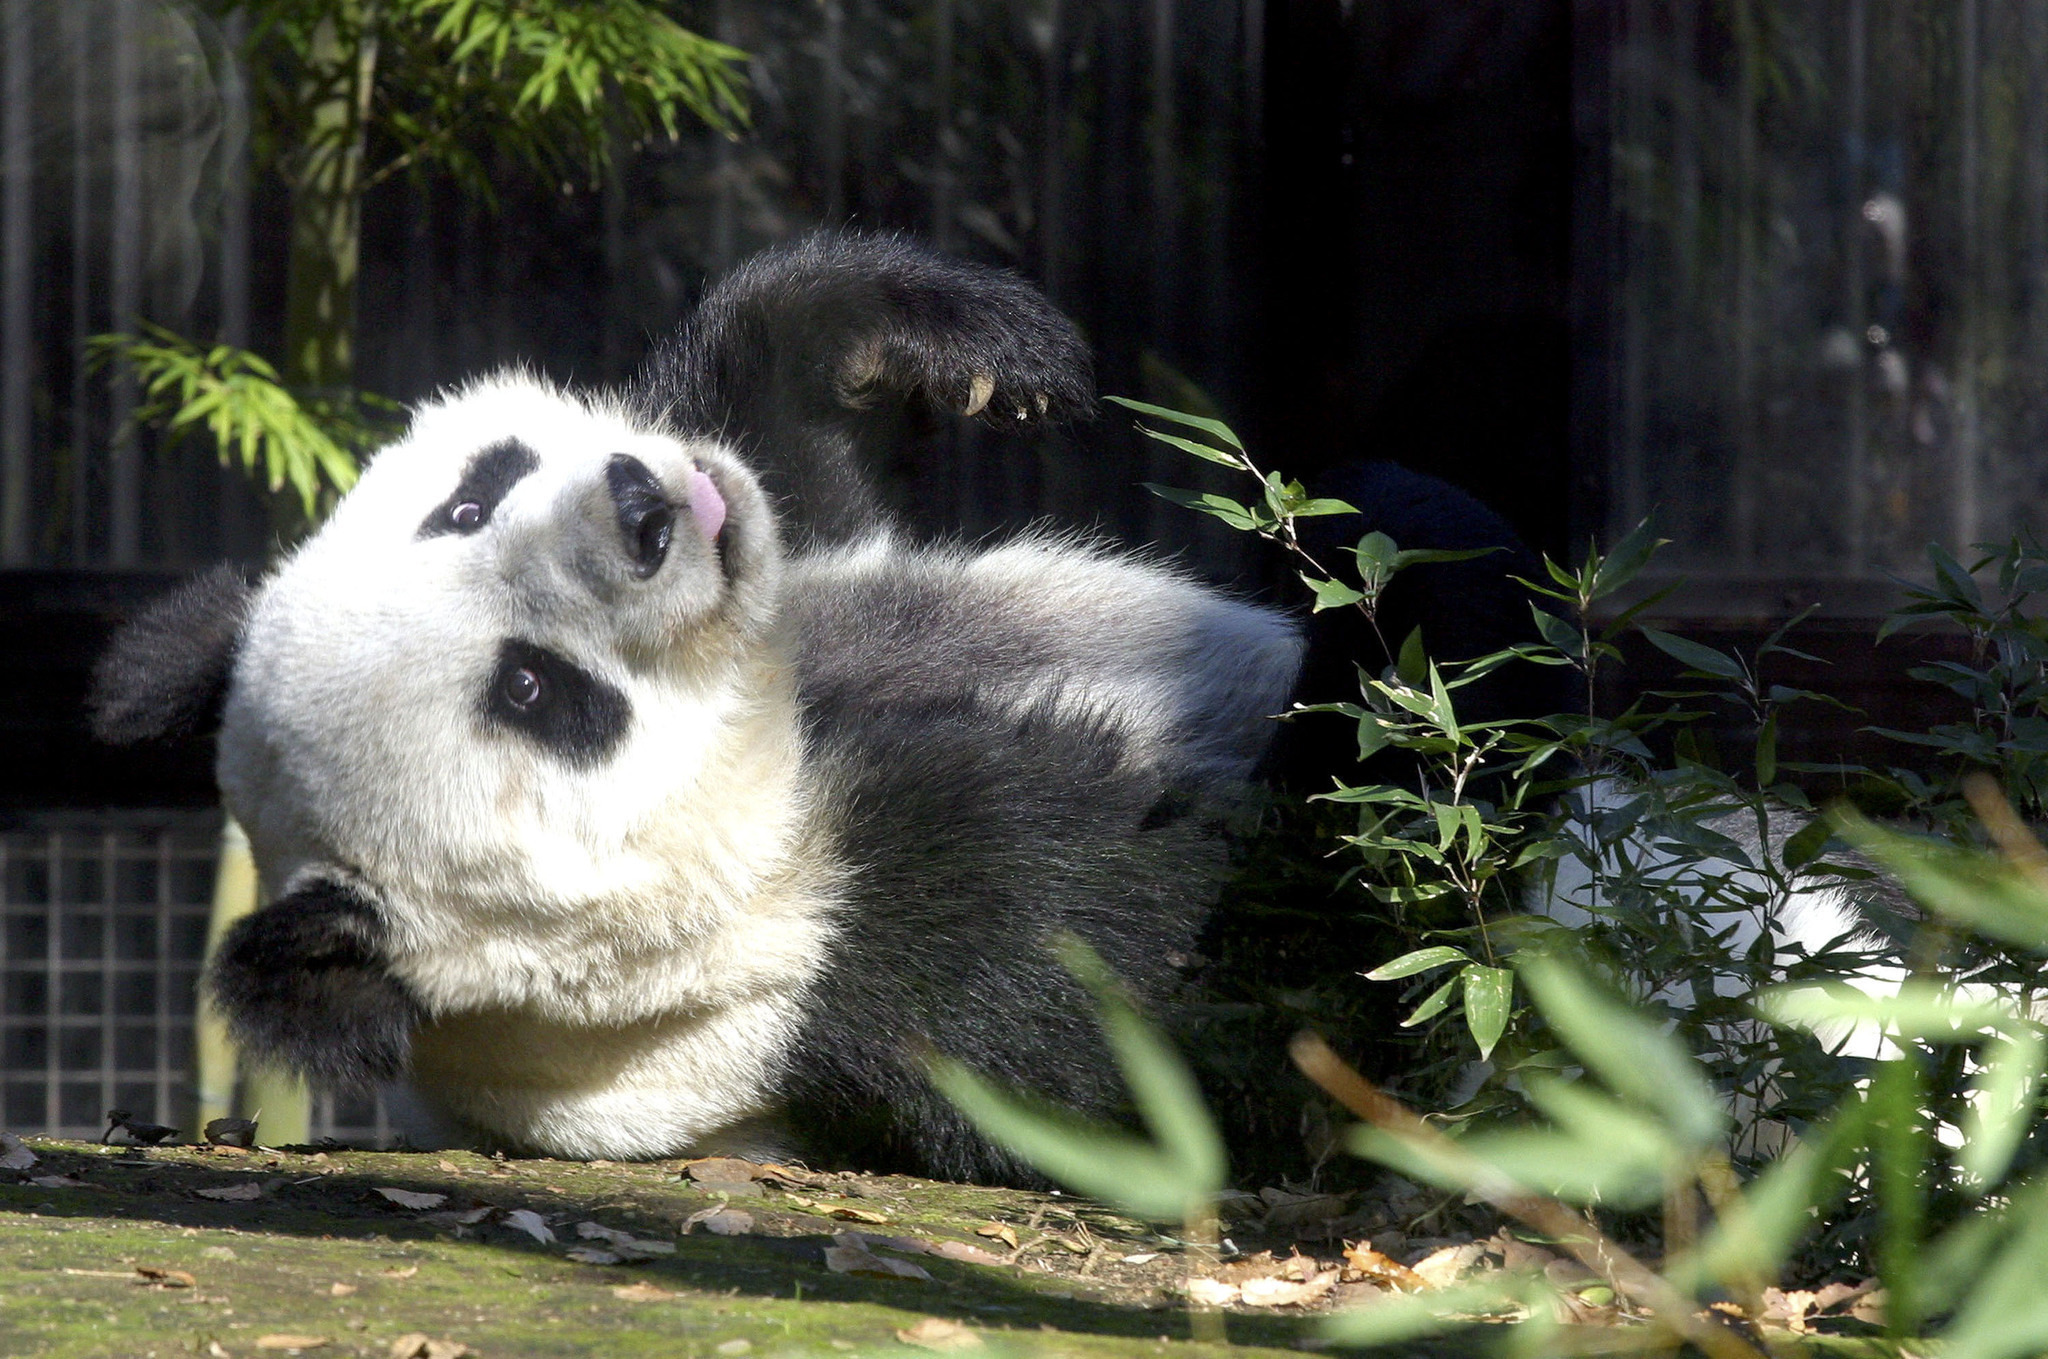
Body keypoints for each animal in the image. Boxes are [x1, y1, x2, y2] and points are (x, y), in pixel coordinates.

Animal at [88, 228, 1302, 1187]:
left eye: (468, 503)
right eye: (531, 688)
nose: (643, 510)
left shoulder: (805, 560)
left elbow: (776, 424)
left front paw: (973, 347)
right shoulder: (820, 954)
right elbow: (1111, 958)